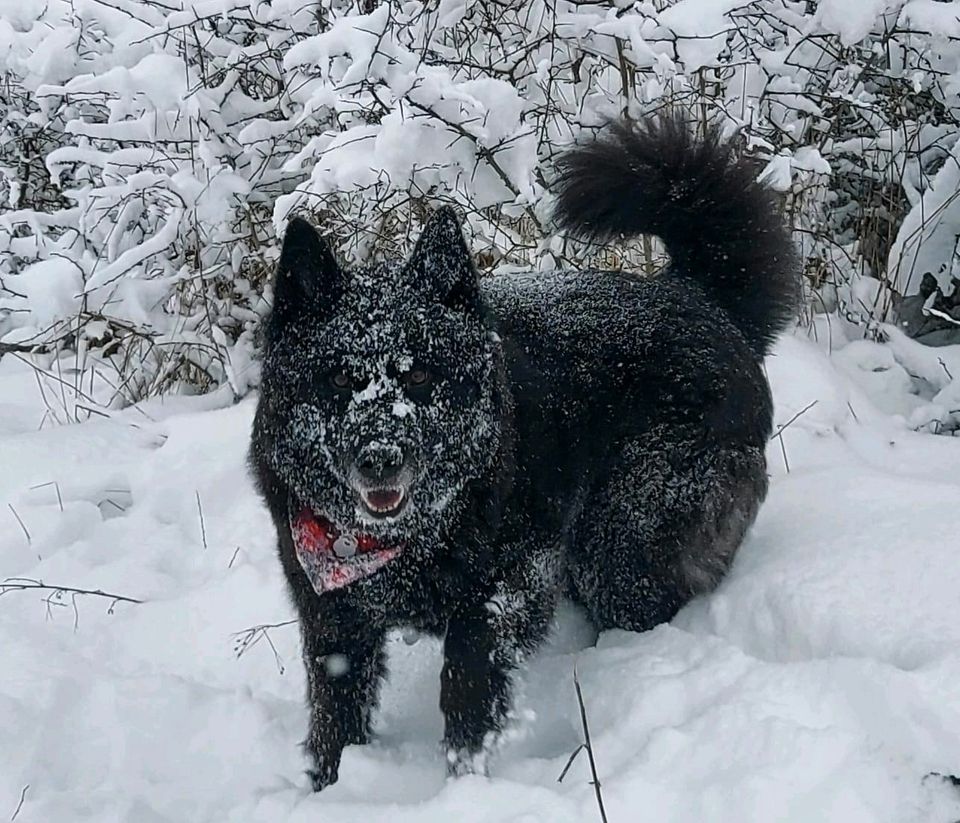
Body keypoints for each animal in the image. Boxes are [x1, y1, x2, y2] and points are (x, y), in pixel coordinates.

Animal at [248, 112, 796, 788]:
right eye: (341, 380)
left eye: (421, 377)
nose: (381, 457)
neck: (410, 539)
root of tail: (706, 301)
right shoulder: (333, 618)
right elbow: (335, 712)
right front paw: (330, 786)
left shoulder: (508, 588)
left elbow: (466, 683)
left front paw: (464, 780)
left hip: (624, 538)